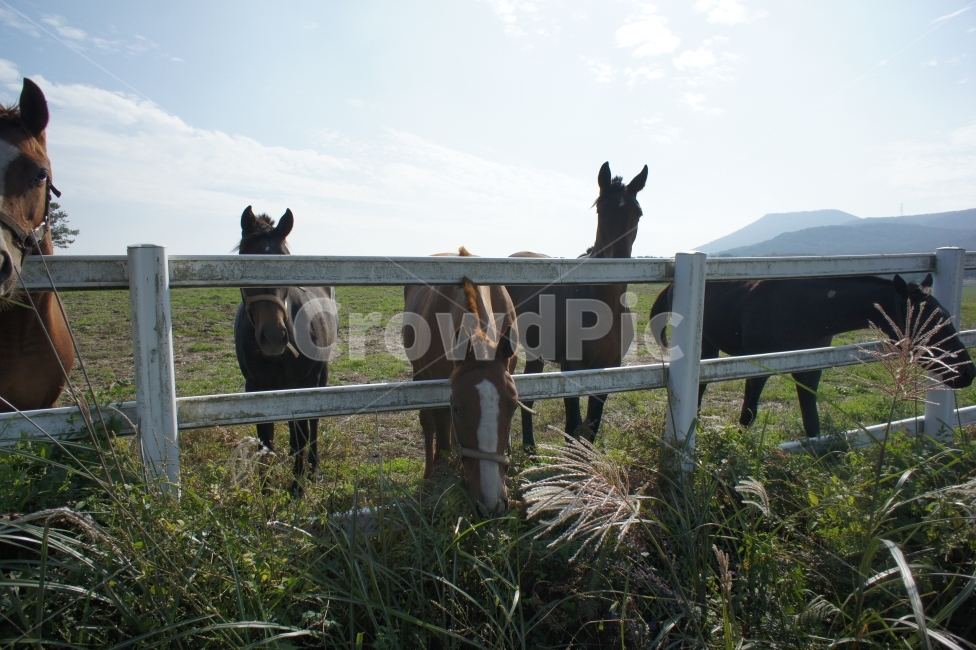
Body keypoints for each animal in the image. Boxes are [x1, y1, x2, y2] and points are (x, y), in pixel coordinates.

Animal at [234, 206, 337, 483]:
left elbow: (303, 430)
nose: (273, 337)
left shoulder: (305, 383)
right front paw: (266, 487)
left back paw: (312, 463)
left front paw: (298, 485)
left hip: (320, 373)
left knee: (312, 423)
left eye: (285, 261)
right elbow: (265, 442)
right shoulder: (256, 387)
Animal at [507, 161, 647, 446]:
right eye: (601, 210)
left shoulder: (608, 369)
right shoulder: (571, 368)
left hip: (536, 352)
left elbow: (591, 427)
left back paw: (530, 446)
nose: (618, 266)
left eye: (637, 213)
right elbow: (573, 427)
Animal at [650, 274, 976, 438]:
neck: (808, 309)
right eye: (928, 322)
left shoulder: (810, 368)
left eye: (946, 317)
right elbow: (748, 415)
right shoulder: (759, 366)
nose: (966, 372)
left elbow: (812, 422)